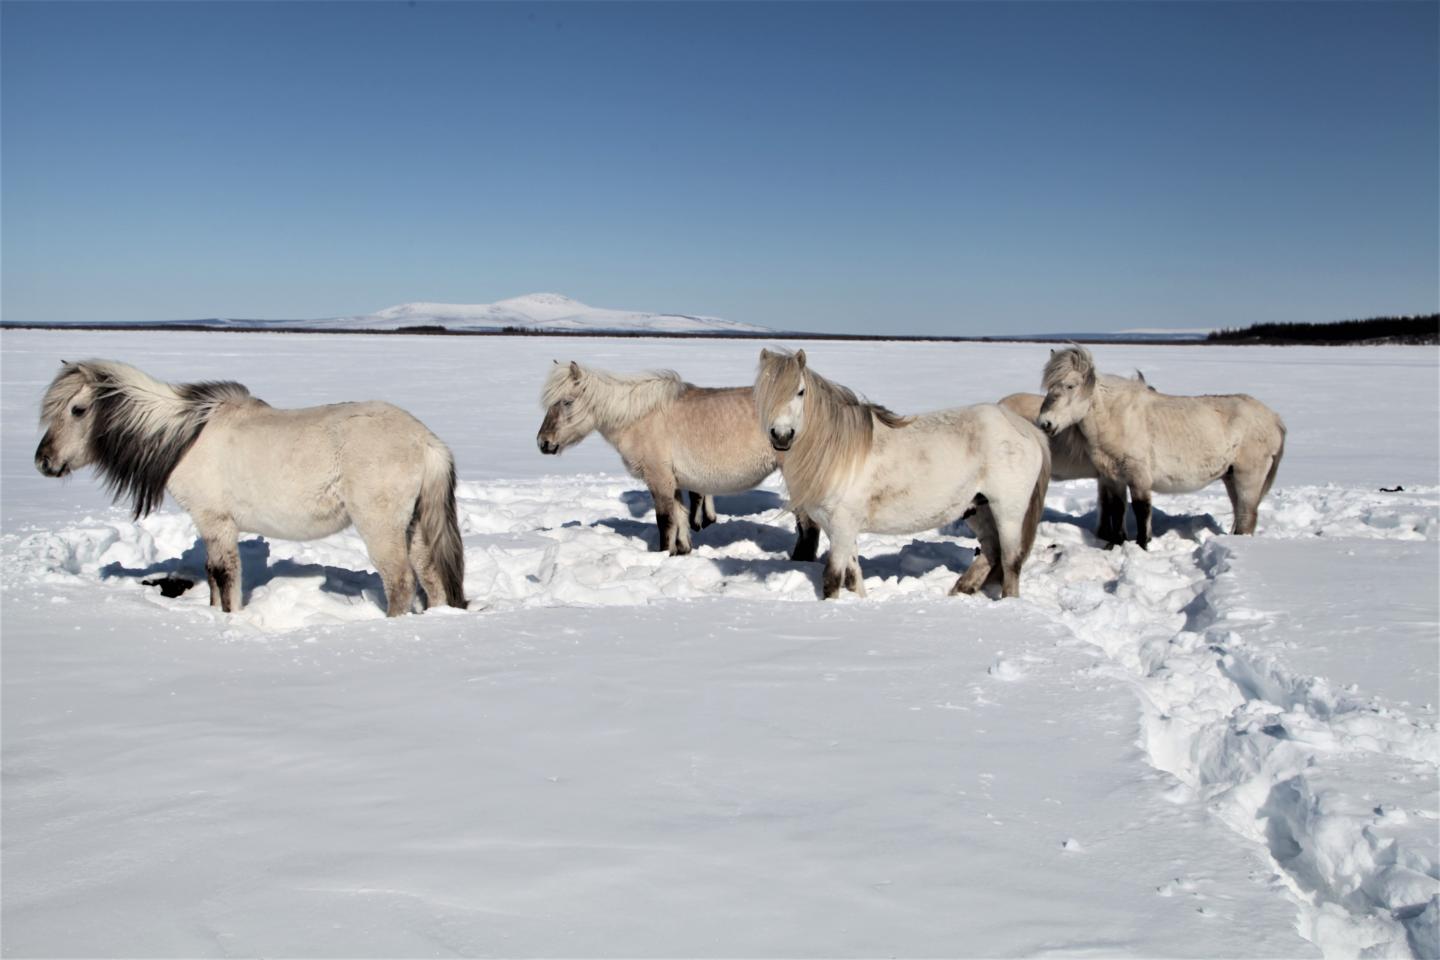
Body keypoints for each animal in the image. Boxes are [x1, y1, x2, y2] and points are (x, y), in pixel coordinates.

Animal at [33, 358, 463, 616]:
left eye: (77, 410)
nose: (43, 461)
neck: (185, 436)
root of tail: (426, 440)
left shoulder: (216, 521)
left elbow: (224, 576)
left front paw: (230, 617)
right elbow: (211, 574)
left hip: (381, 526)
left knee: (400, 581)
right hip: (414, 526)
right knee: (431, 577)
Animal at [538, 358, 823, 555]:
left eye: (566, 402)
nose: (543, 443)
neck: (640, 417)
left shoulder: (659, 479)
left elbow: (665, 521)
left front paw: (663, 554)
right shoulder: (673, 481)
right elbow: (680, 518)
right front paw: (681, 551)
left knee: (808, 526)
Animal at [754, 345, 1048, 601]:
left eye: (800, 392)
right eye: (762, 393)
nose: (781, 436)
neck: (837, 452)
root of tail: (1025, 428)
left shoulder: (842, 524)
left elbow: (832, 578)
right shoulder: (838, 528)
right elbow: (853, 576)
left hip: (1008, 511)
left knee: (1010, 560)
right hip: (978, 508)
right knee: (991, 552)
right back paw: (959, 591)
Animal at [1036, 349, 1284, 552]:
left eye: (1070, 385)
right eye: (1049, 387)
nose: (1044, 423)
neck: (1116, 418)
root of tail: (1273, 418)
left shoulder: (1139, 477)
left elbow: (1141, 511)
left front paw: (1142, 546)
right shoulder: (1112, 477)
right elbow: (1117, 510)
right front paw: (1115, 544)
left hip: (1247, 478)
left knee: (1246, 515)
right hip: (1231, 477)